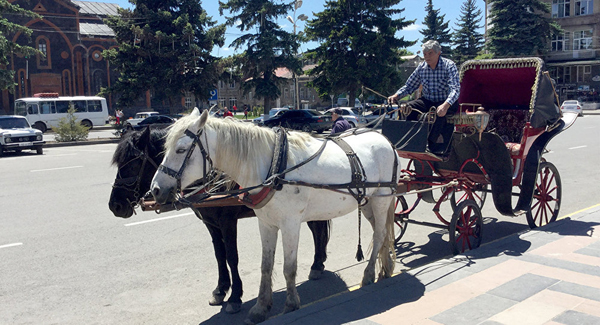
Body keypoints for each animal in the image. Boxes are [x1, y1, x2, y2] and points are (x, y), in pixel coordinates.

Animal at [109, 126, 332, 312]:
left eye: (133, 164)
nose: (115, 206)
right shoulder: (210, 223)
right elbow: (219, 254)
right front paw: (221, 289)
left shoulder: (227, 222)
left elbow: (232, 256)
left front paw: (235, 296)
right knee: (318, 228)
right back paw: (318, 262)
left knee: (317, 230)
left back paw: (316, 264)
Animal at [152, 108, 400, 322]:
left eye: (181, 149)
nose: (155, 189)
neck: (273, 167)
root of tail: (385, 140)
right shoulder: (266, 223)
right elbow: (266, 265)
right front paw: (261, 307)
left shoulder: (290, 224)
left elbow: (288, 267)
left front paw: (290, 304)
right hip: (367, 203)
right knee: (381, 235)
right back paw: (385, 268)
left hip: (382, 199)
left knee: (379, 235)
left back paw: (369, 274)